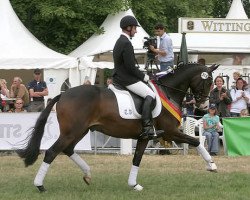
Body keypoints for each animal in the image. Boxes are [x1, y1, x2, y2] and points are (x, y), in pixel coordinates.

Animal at [16, 63, 219, 192]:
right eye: (209, 81)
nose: (203, 105)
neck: (168, 92)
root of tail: (62, 95)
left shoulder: (145, 137)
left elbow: (137, 159)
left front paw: (133, 185)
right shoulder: (170, 132)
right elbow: (195, 141)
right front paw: (212, 165)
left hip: (79, 131)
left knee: (67, 149)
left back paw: (87, 174)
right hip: (72, 132)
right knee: (52, 152)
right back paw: (40, 186)